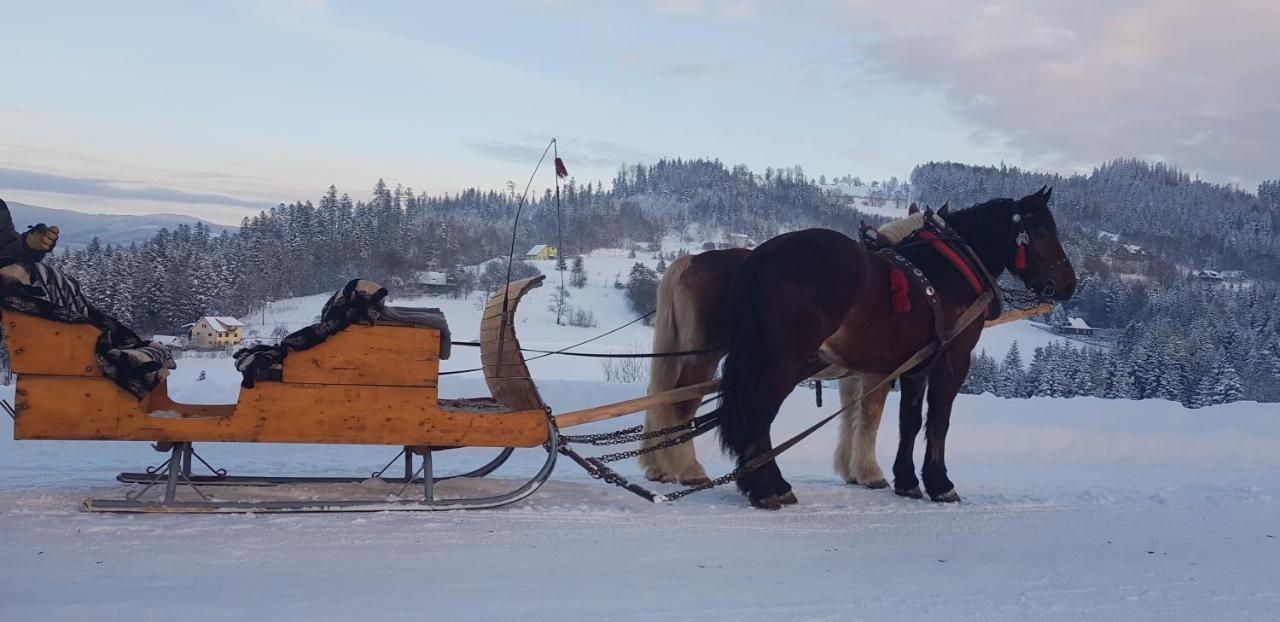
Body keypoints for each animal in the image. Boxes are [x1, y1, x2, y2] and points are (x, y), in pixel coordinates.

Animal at [634, 189, 1075, 509]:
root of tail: (757, 257)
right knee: (732, 411)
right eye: (1041, 233)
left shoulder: (908, 365)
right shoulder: (948, 360)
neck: (945, 271)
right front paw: (935, 482)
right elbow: (927, 421)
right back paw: (757, 484)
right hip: (766, 358)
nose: (1069, 284)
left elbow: (901, 421)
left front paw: (900, 480)